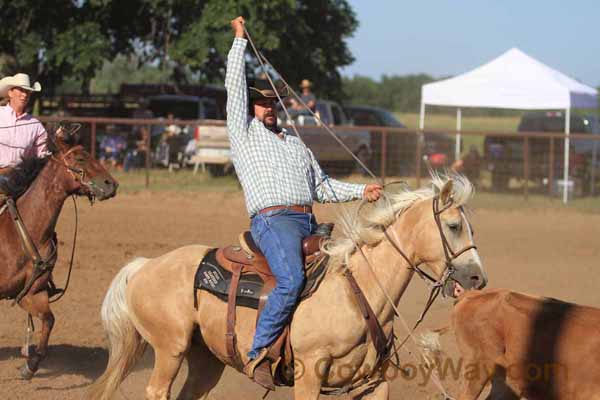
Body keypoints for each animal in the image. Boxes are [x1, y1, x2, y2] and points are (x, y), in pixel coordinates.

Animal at [91, 175, 488, 400]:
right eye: (453, 226)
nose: (478, 279)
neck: (357, 292)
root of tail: (144, 266)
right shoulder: (309, 372)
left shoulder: (375, 382)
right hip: (169, 349)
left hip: (206, 359)